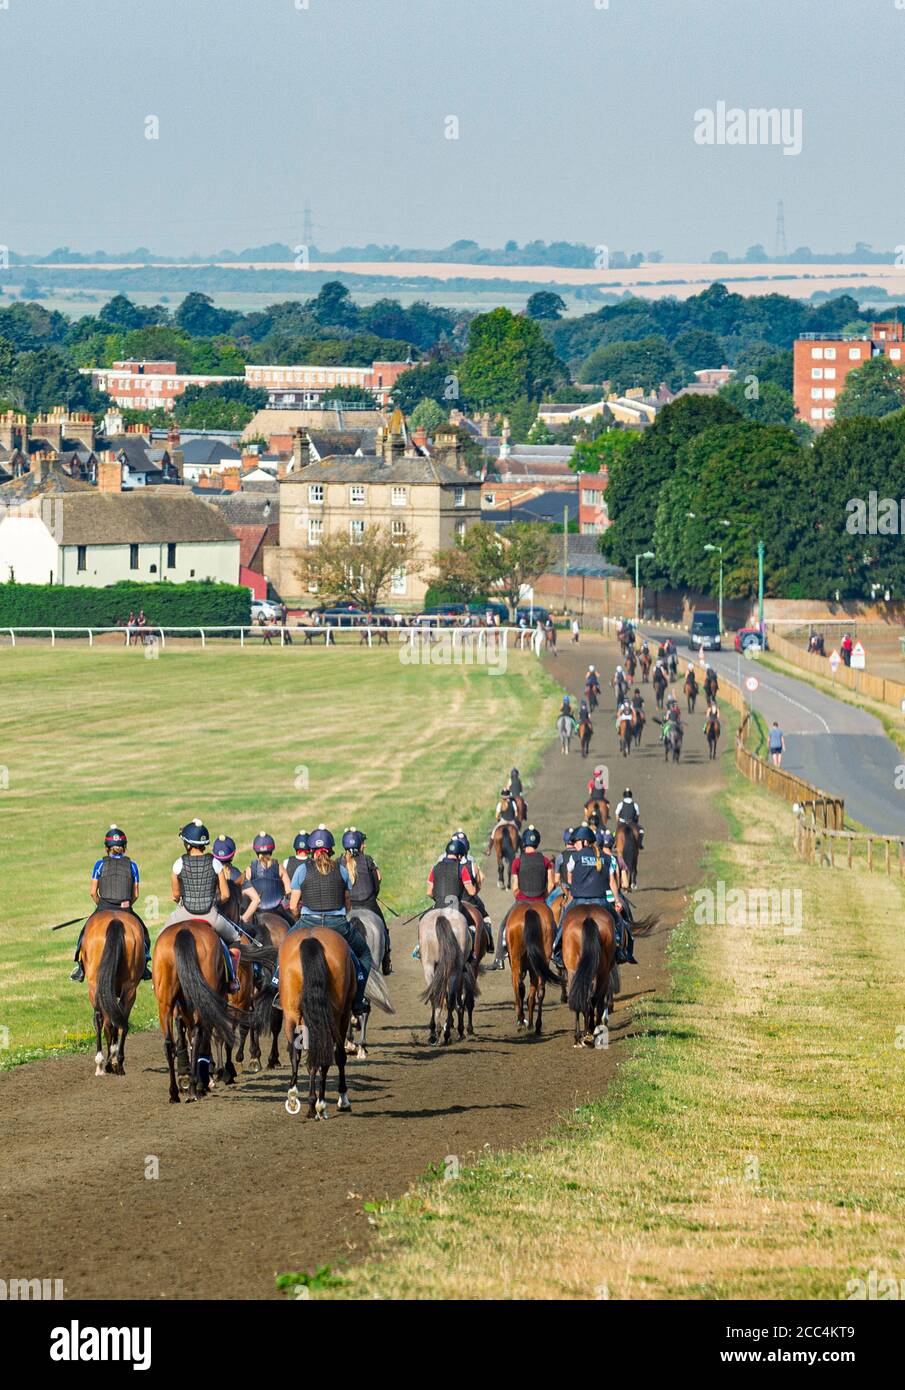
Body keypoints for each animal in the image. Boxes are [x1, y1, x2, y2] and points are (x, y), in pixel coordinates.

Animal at [79, 906, 146, 1078]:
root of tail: (115, 921)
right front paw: (113, 1060)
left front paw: (109, 1062)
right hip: (129, 988)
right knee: (119, 1019)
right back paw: (115, 1061)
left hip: (95, 985)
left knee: (100, 1019)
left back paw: (103, 1063)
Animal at [152, 922, 244, 1106]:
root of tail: (184, 930)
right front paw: (207, 1080)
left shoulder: (184, 1005)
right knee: (199, 1034)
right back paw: (196, 1088)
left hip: (165, 1001)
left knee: (170, 1043)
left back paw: (174, 1093)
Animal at [279, 922, 358, 1117]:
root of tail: (311, 939)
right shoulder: (344, 1015)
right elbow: (339, 1056)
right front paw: (342, 1099)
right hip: (336, 1015)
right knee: (330, 1055)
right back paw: (321, 1103)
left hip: (291, 1013)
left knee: (296, 1053)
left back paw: (296, 1099)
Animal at [417, 906, 478, 1045]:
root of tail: (441, 916)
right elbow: (459, 1000)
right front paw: (459, 1029)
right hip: (453, 969)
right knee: (449, 998)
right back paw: (446, 1033)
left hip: (429, 966)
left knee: (435, 996)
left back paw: (435, 1033)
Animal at [561, 906, 620, 1045]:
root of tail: (588, 918)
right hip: (602, 972)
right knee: (596, 998)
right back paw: (593, 1031)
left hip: (575, 971)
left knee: (584, 998)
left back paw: (582, 1034)